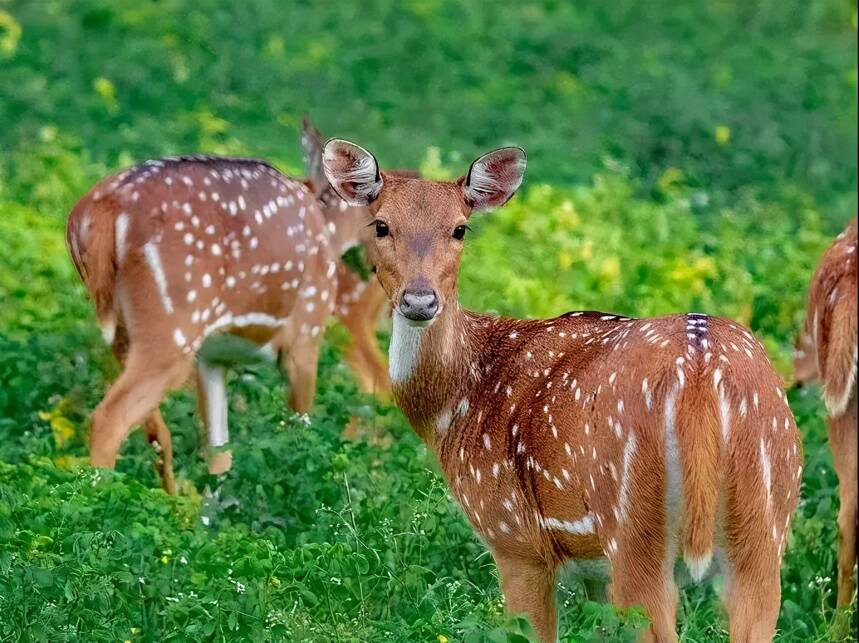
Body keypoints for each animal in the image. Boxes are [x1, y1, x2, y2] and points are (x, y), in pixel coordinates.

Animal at [67, 122, 396, 494]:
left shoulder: (213, 358)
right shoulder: (306, 331)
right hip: (172, 326)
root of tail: (96, 212)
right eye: (379, 218)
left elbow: (219, 452)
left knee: (154, 431)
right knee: (109, 418)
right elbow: (299, 429)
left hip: (123, 333)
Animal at [322, 141, 808, 643]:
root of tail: (700, 371)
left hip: (635, 529)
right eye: (381, 224)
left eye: (460, 228)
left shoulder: (513, 536)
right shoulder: (592, 572)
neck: (460, 402)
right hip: (765, 527)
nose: (419, 301)